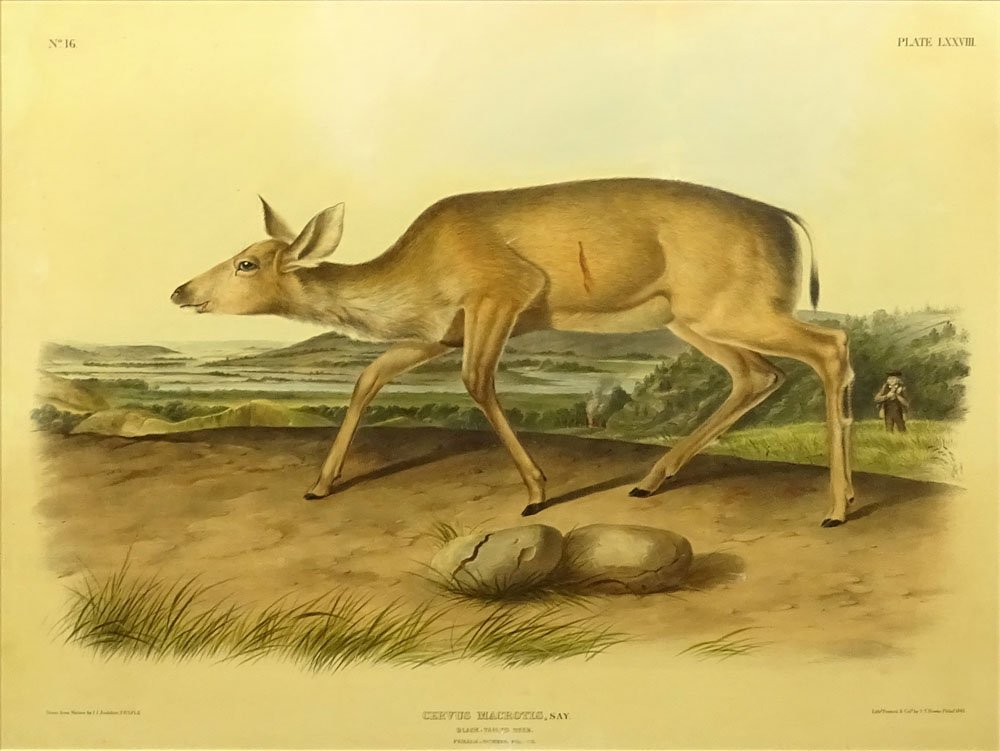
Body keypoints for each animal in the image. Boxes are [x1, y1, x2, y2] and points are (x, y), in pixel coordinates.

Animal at [171, 179, 855, 527]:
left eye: (246, 262)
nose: (180, 290)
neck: (414, 274)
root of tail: (789, 220)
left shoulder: (502, 291)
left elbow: (477, 382)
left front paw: (537, 492)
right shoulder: (438, 331)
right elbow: (369, 377)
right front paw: (320, 485)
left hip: (728, 310)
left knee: (830, 347)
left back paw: (836, 508)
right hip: (694, 320)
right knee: (759, 375)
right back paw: (650, 482)